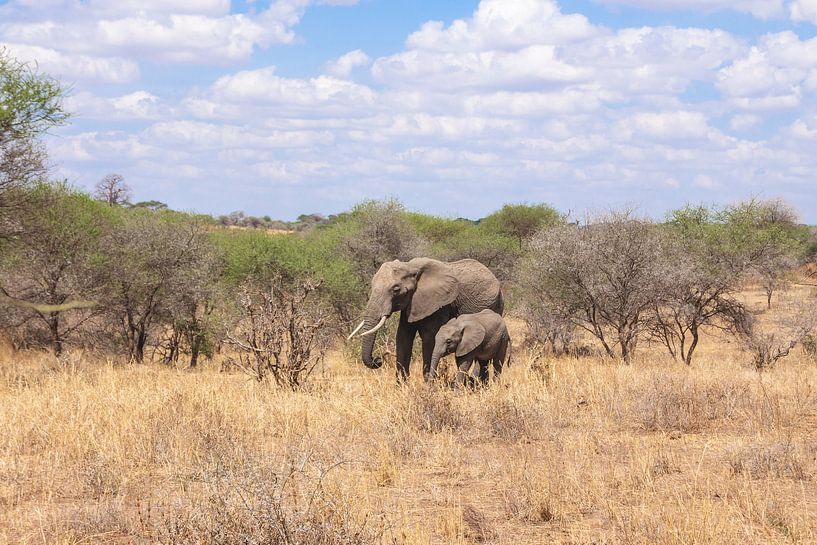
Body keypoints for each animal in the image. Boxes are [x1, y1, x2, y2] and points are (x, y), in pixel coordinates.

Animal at [348, 257, 503, 381]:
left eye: (396, 290)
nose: (378, 359)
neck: (410, 266)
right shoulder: (411, 304)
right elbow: (403, 337)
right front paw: (401, 387)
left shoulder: (440, 304)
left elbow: (430, 339)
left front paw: (429, 384)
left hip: (495, 305)